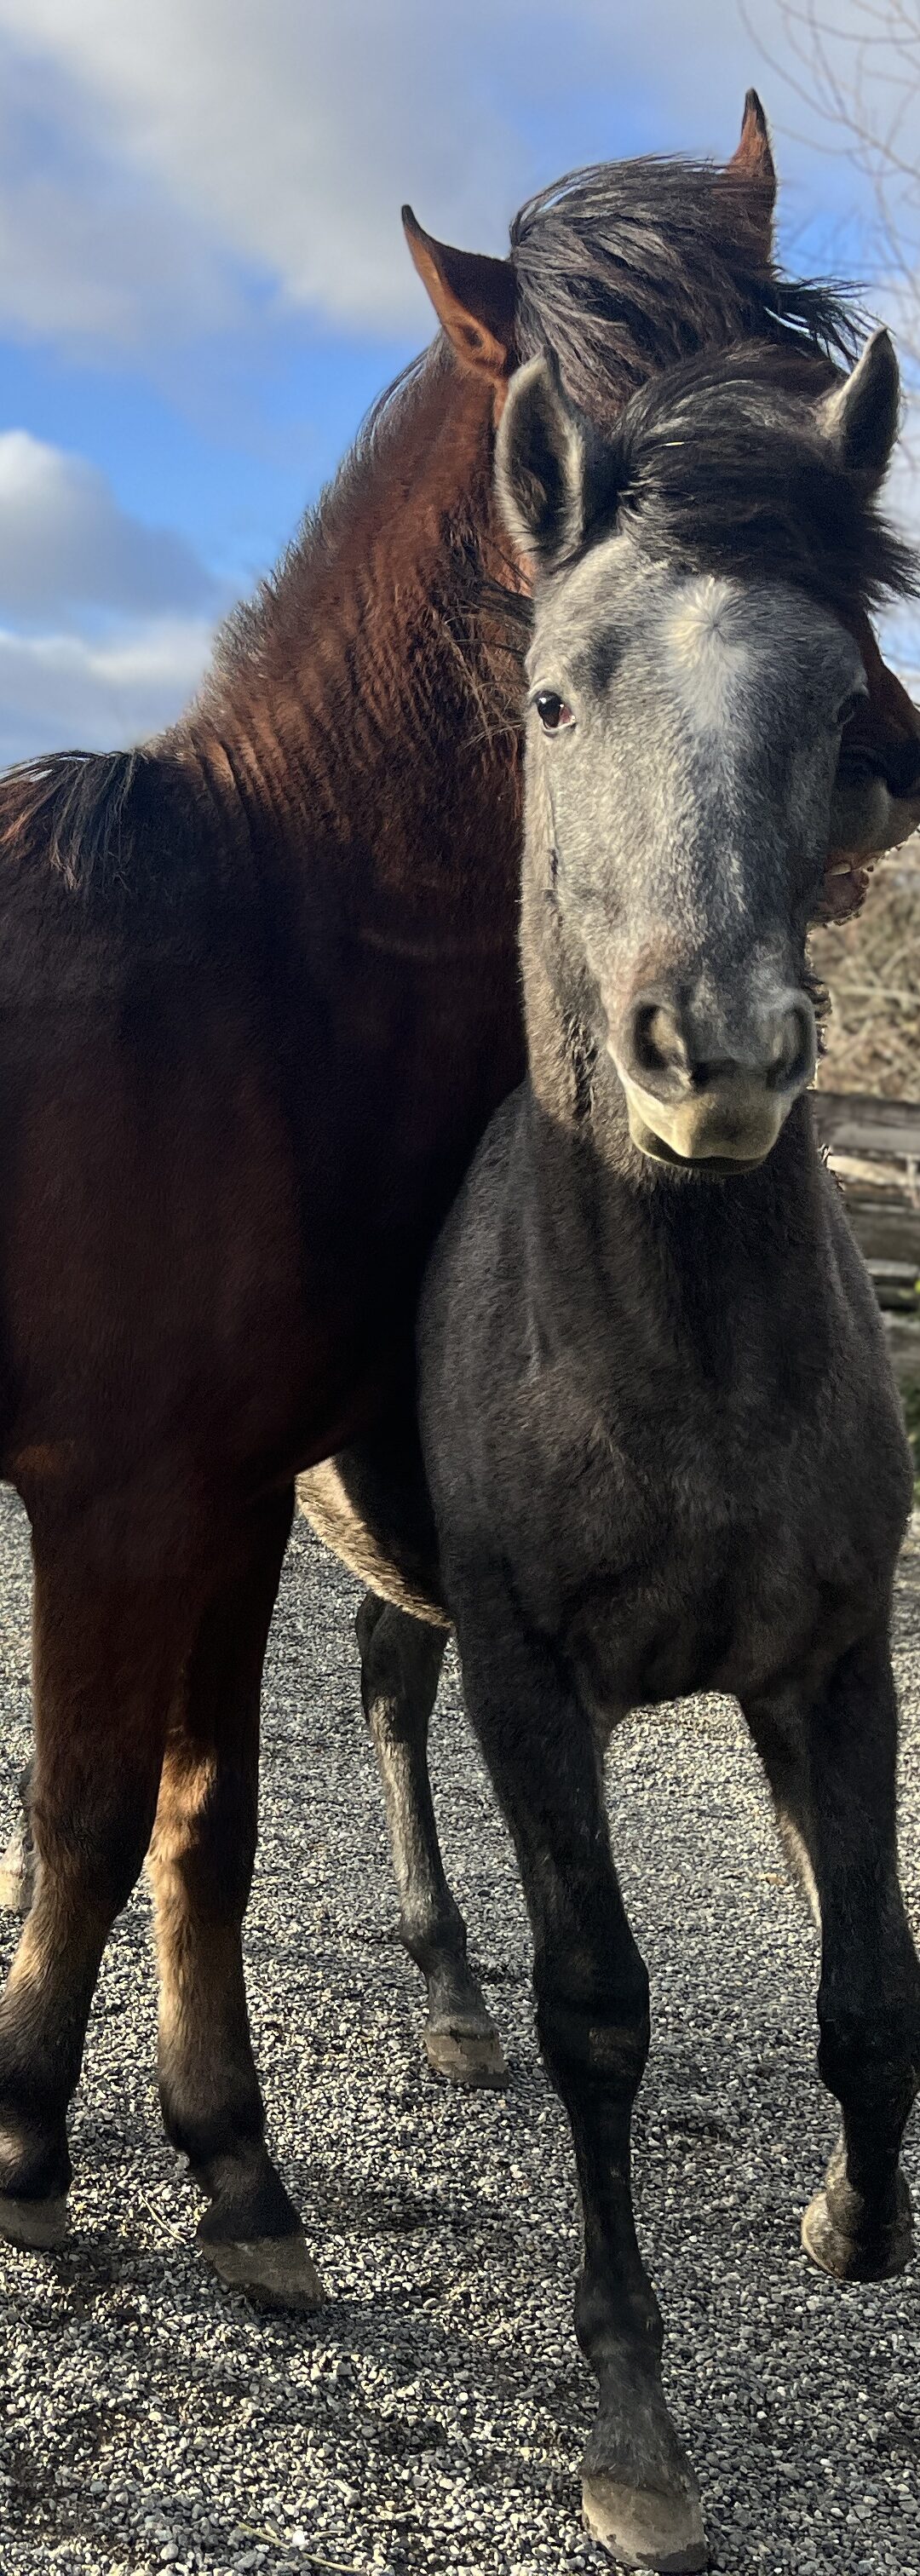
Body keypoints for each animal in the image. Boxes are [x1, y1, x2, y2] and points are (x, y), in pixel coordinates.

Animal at [0, 101, 918, 2314]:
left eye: (826, 423)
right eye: (572, 435)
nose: (882, 767)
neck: (239, 965)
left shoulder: (230, 1489)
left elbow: (202, 1818)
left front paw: (232, 2173)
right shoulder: (116, 1491)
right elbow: (94, 1810)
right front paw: (34, 2154)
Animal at [303, 330, 920, 2569]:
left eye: (842, 703)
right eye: (558, 693)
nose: (715, 1058)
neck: (684, 1368)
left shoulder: (832, 1663)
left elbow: (871, 1980)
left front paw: (852, 2218)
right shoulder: (537, 1682)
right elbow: (604, 2012)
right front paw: (634, 2435)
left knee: (377, 1685)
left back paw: (444, 1997)